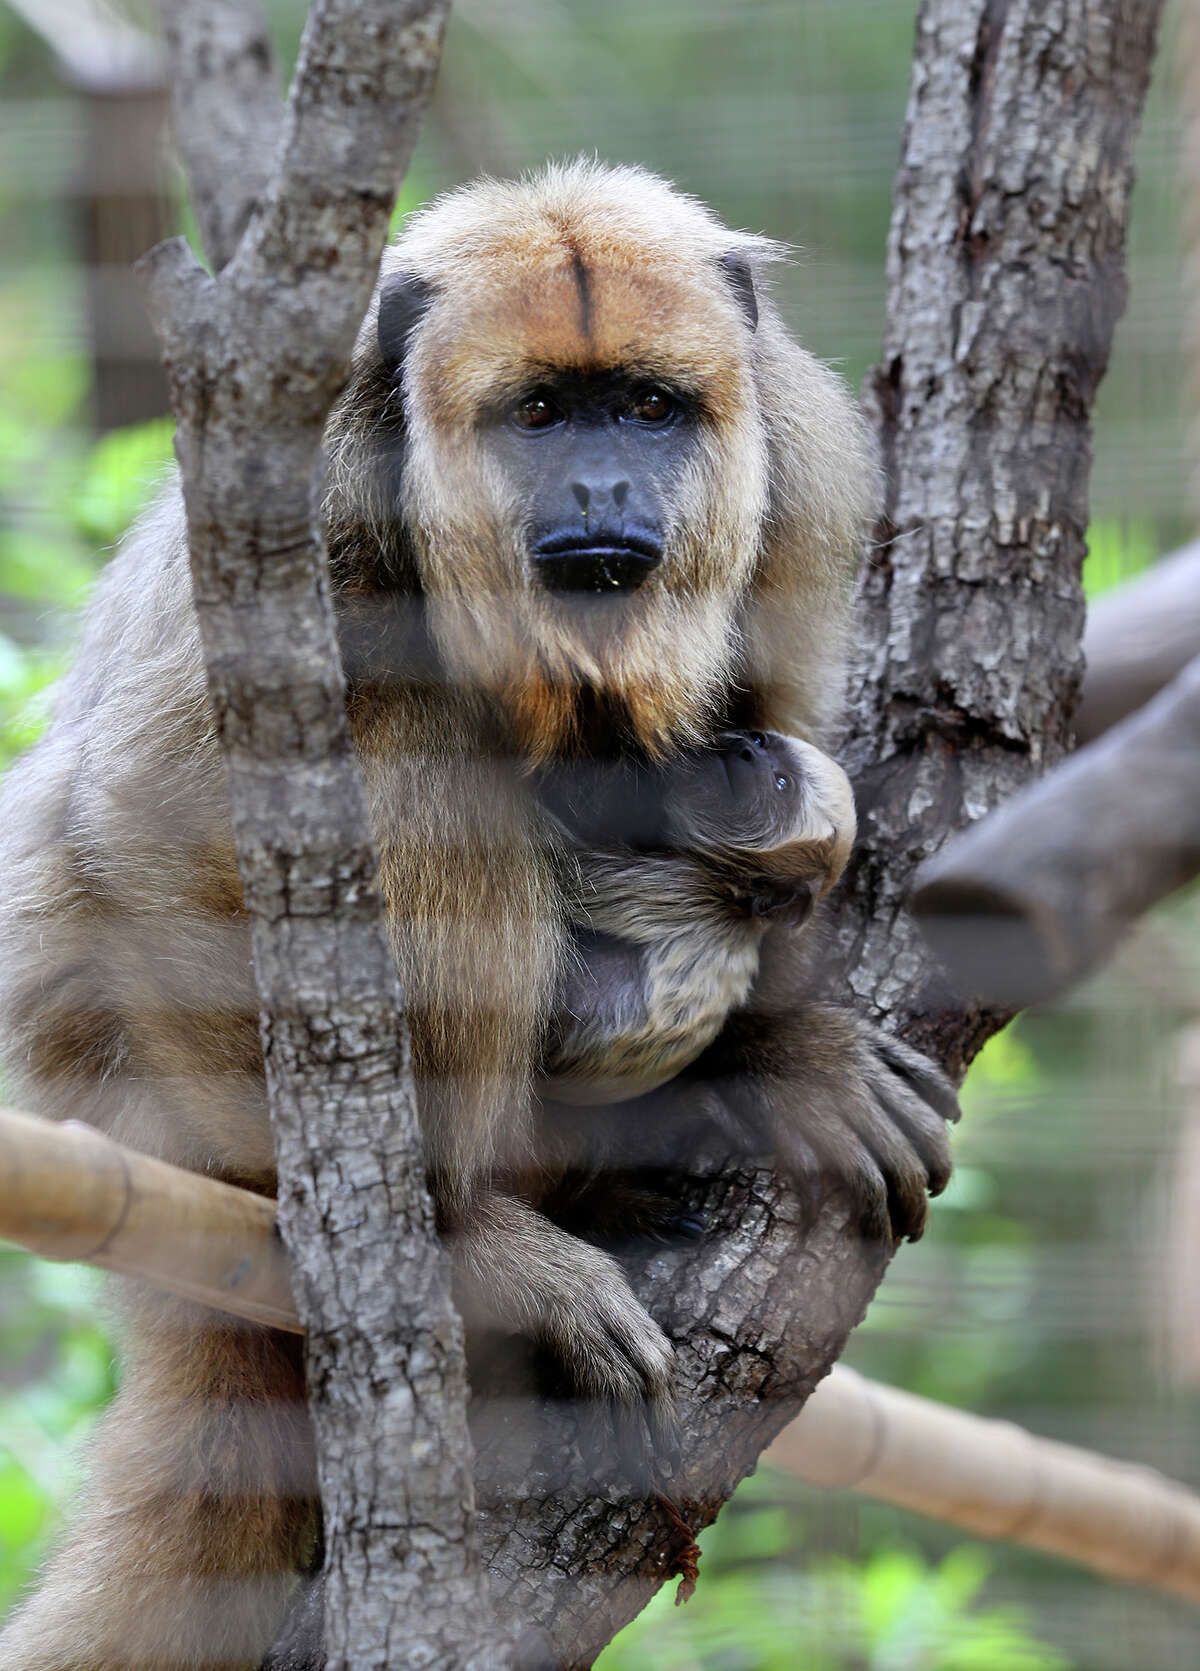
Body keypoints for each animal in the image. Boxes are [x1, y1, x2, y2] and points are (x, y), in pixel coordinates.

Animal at [0, 160, 956, 1670]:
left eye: (648, 407)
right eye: (542, 413)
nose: (606, 486)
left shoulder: (808, 474)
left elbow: (785, 720)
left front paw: (783, 1053)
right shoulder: (294, 493)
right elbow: (139, 819)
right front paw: (457, 1250)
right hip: (118, 1095)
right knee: (411, 745)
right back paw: (473, 1225)